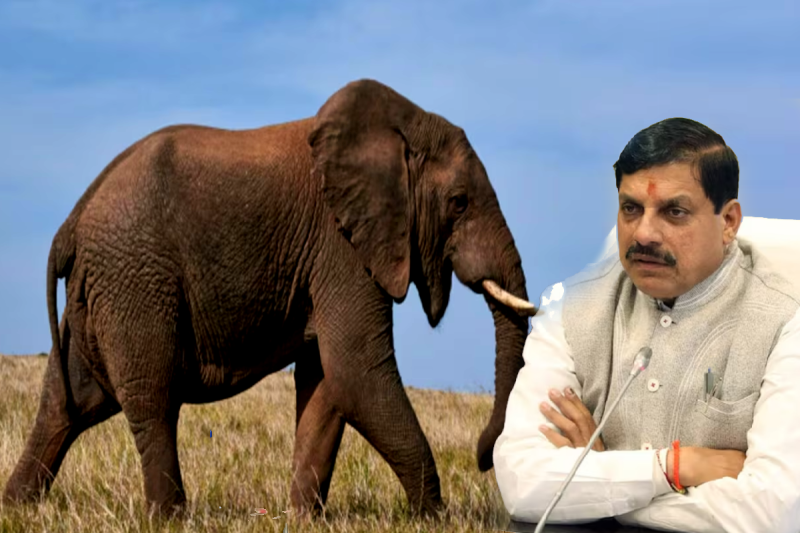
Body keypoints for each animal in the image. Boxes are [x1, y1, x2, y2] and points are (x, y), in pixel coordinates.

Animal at [3, 79, 536, 518]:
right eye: (459, 203)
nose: (483, 457)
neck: (400, 126)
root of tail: (72, 223)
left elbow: (327, 383)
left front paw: (303, 519)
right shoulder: (340, 247)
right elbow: (357, 371)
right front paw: (434, 518)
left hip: (101, 292)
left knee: (68, 402)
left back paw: (18, 506)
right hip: (134, 279)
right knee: (151, 399)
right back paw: (169, 518)